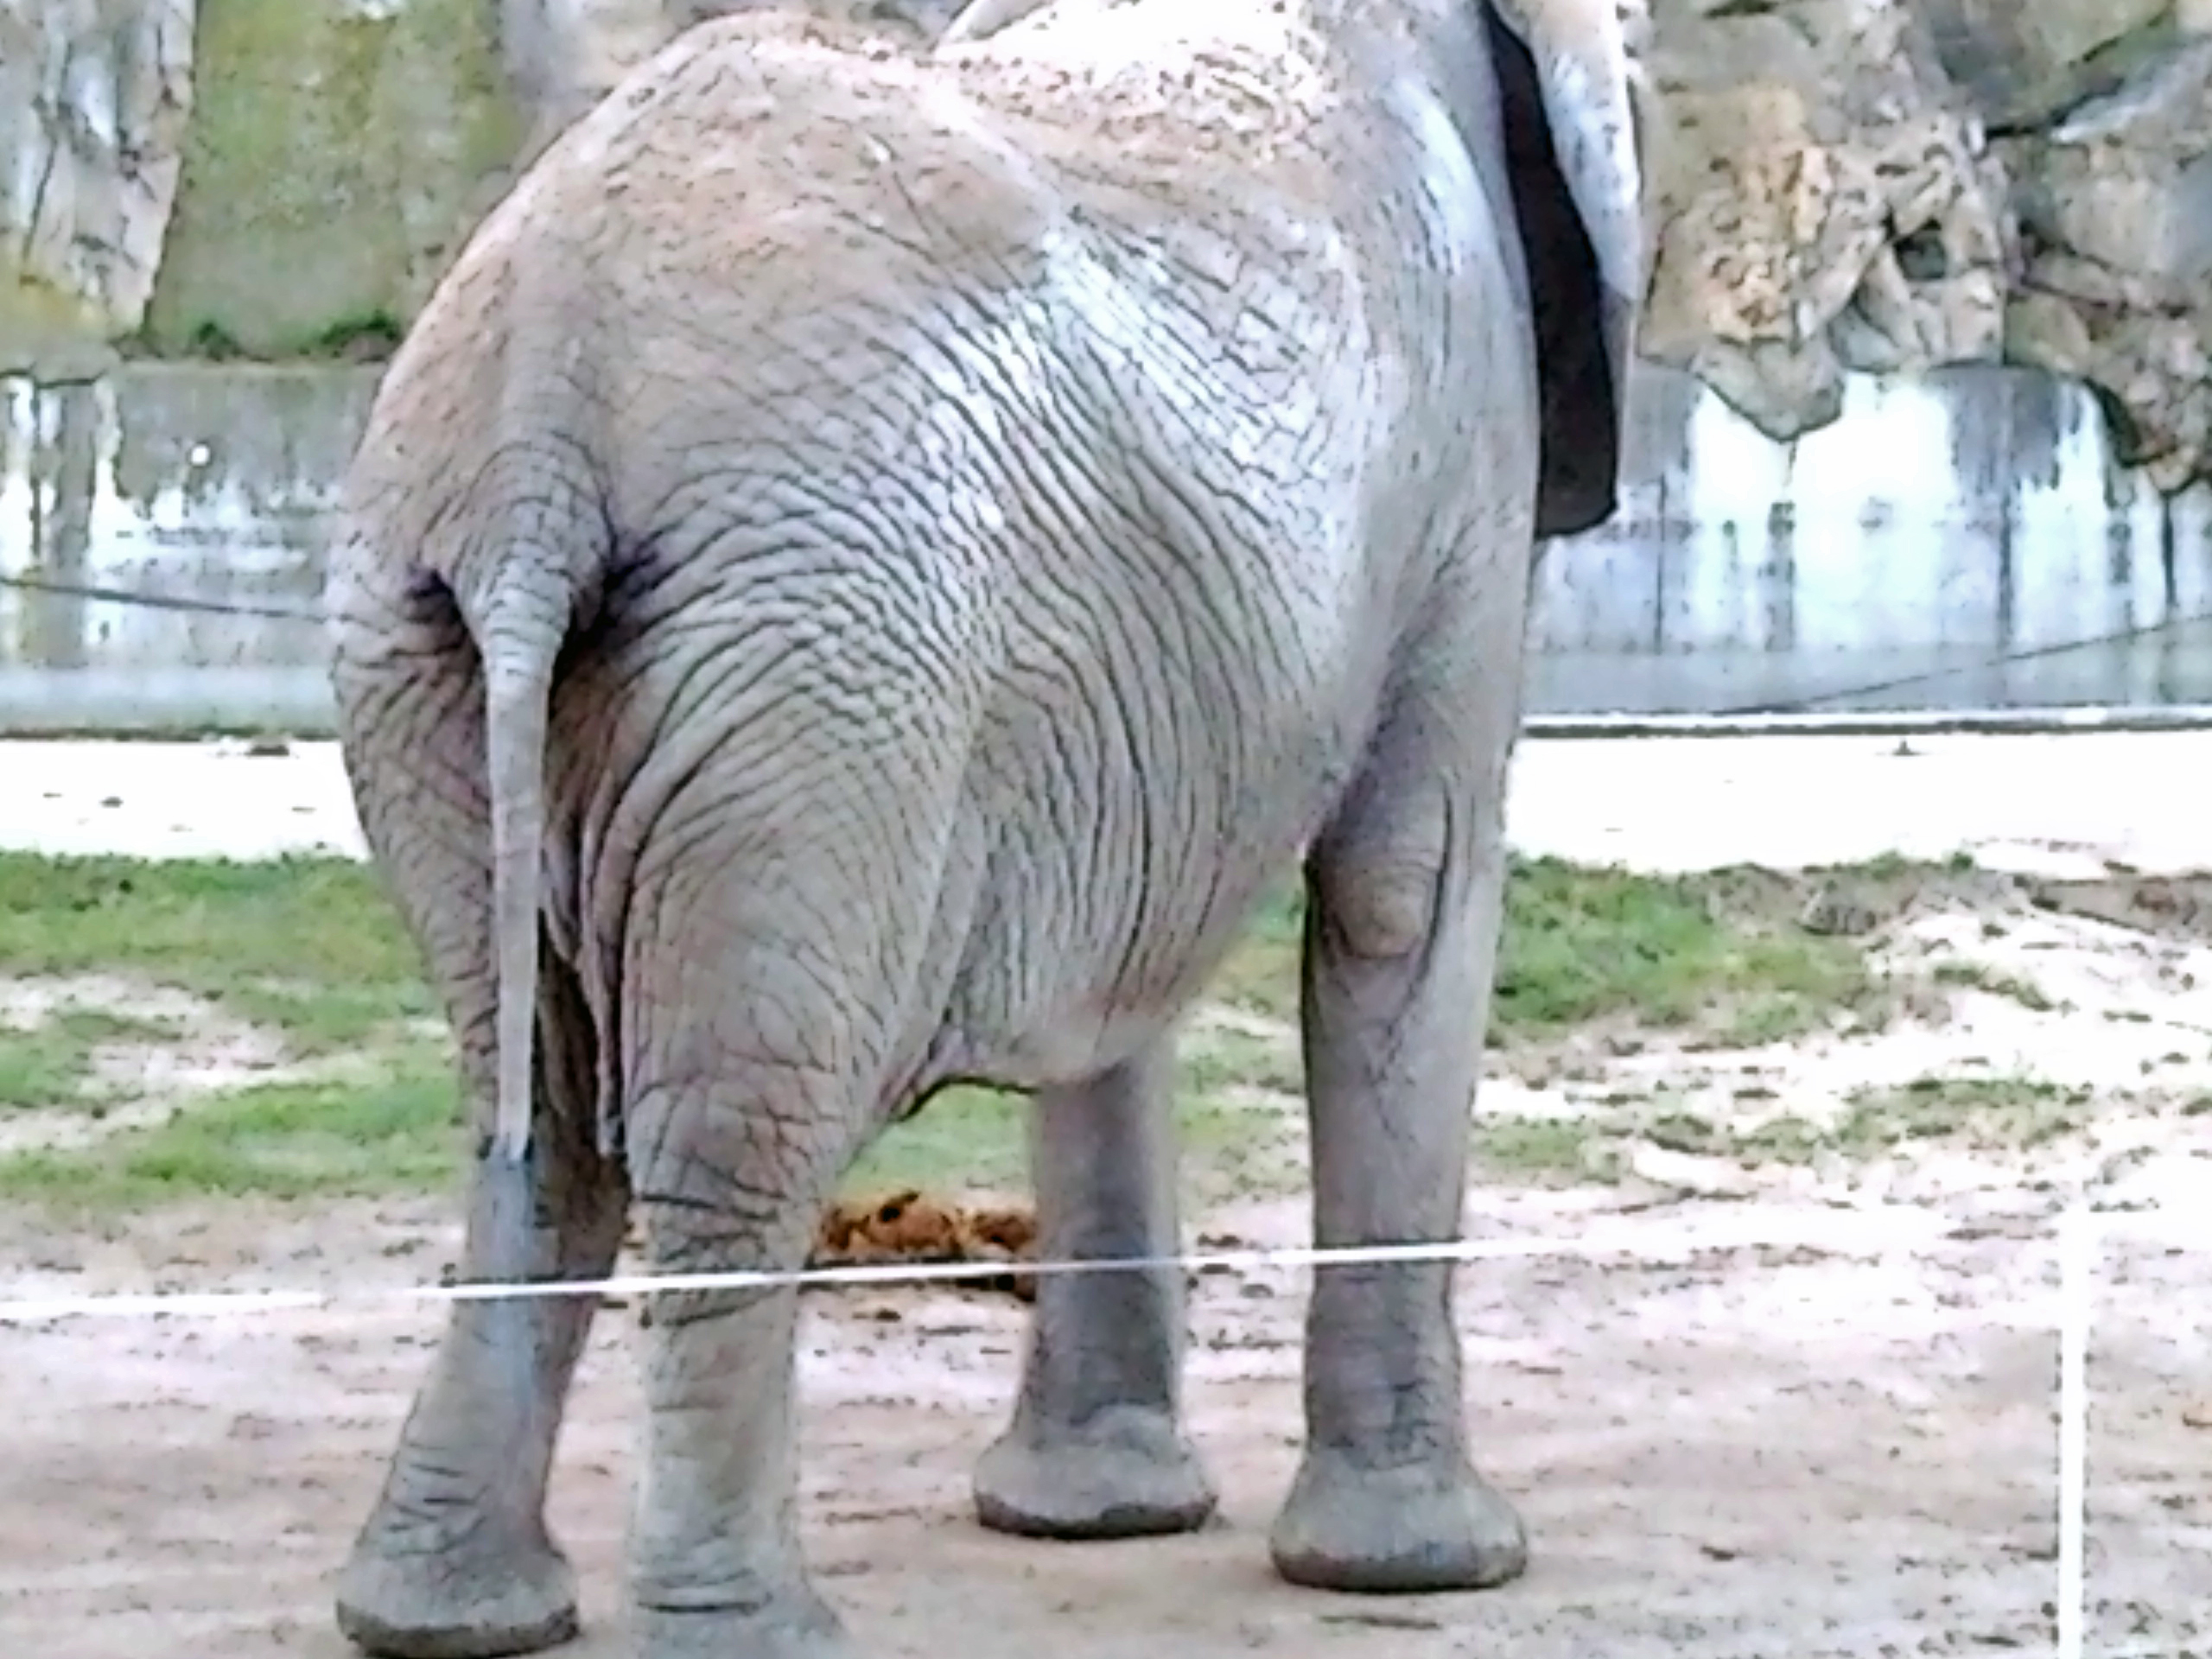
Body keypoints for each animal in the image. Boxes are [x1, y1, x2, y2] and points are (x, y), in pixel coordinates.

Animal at [322, 0, 1645, 1654]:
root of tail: (542, 423)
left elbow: (1119, 976)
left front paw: (1095, 1523)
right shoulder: (1467, 446)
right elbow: (1405, 891)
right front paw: (1432, 1571)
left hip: (426, 635)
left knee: (538, 1115)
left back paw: (443, 1615)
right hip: (822, 668)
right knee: (726, 1134)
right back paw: (751, 1632)